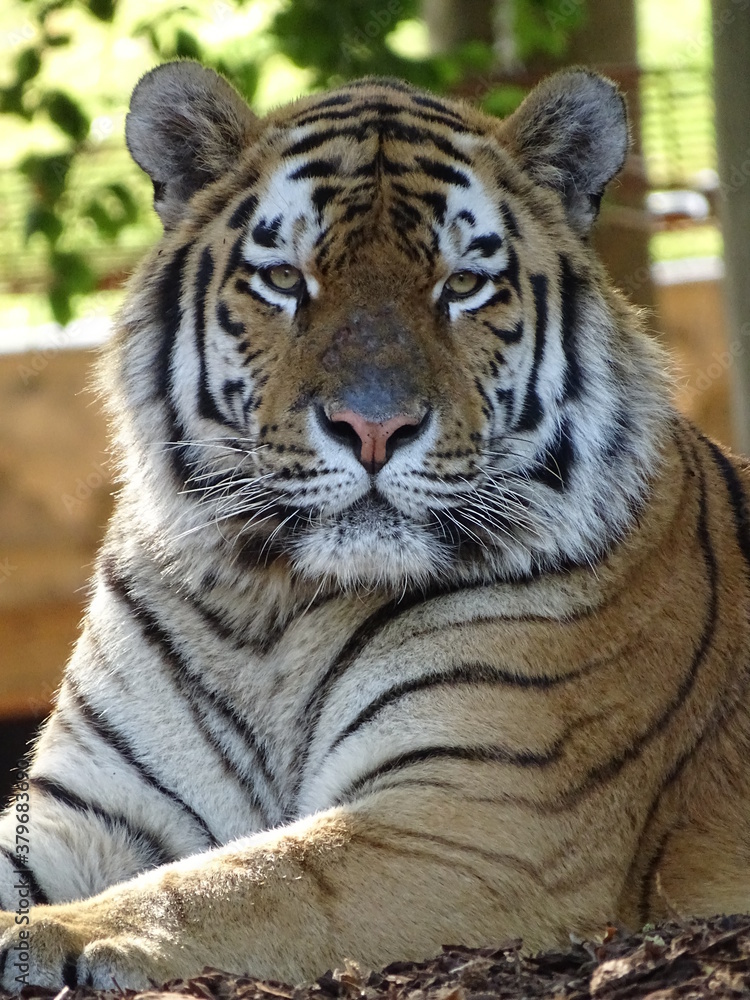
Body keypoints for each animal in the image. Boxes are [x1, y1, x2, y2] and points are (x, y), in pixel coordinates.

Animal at [2, 58, 750, 993]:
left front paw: (50, 934)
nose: (372, 427)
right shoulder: (92, 803)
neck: (267, 606)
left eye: (462, 285)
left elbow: (246, 880)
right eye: (286, 279)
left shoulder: (479, 817)